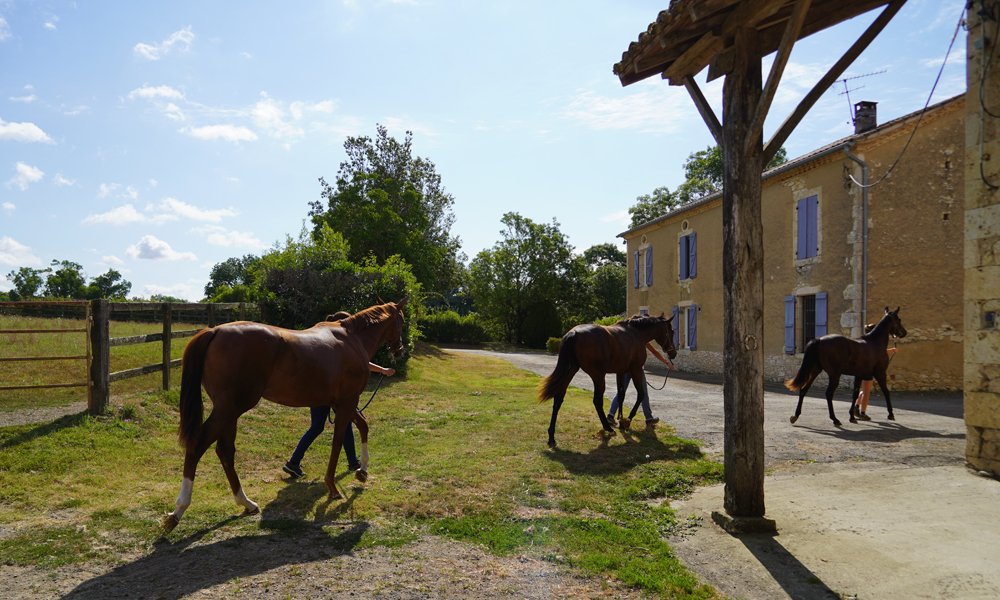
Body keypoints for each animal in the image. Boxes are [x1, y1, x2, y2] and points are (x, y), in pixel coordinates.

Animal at [161, 299, 406, 533]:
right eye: (401, 320)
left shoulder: (340, 404)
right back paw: (178, 512)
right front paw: (333, 485)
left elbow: (363, 426)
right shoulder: (347, 402)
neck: (352, 340)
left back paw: (246, 503)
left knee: (225, 452)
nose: (400, 350)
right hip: (228, 410)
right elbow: (338, 441)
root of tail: (215, 331)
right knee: (197, 447)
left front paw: (362, 471)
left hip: (230, 412)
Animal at [538, 314, 677, 448]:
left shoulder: (621, 372)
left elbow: (621, 395)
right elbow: (640, 394)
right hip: (598, 376)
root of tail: (574, 333)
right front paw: (627, 420)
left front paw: (620, 419)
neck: (636, 333)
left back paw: (551, 437)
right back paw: (608, 428)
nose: (673, 353)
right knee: (597, 401)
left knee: (558, 399)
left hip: (571, 371)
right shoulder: (636, 369)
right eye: (672, 331)